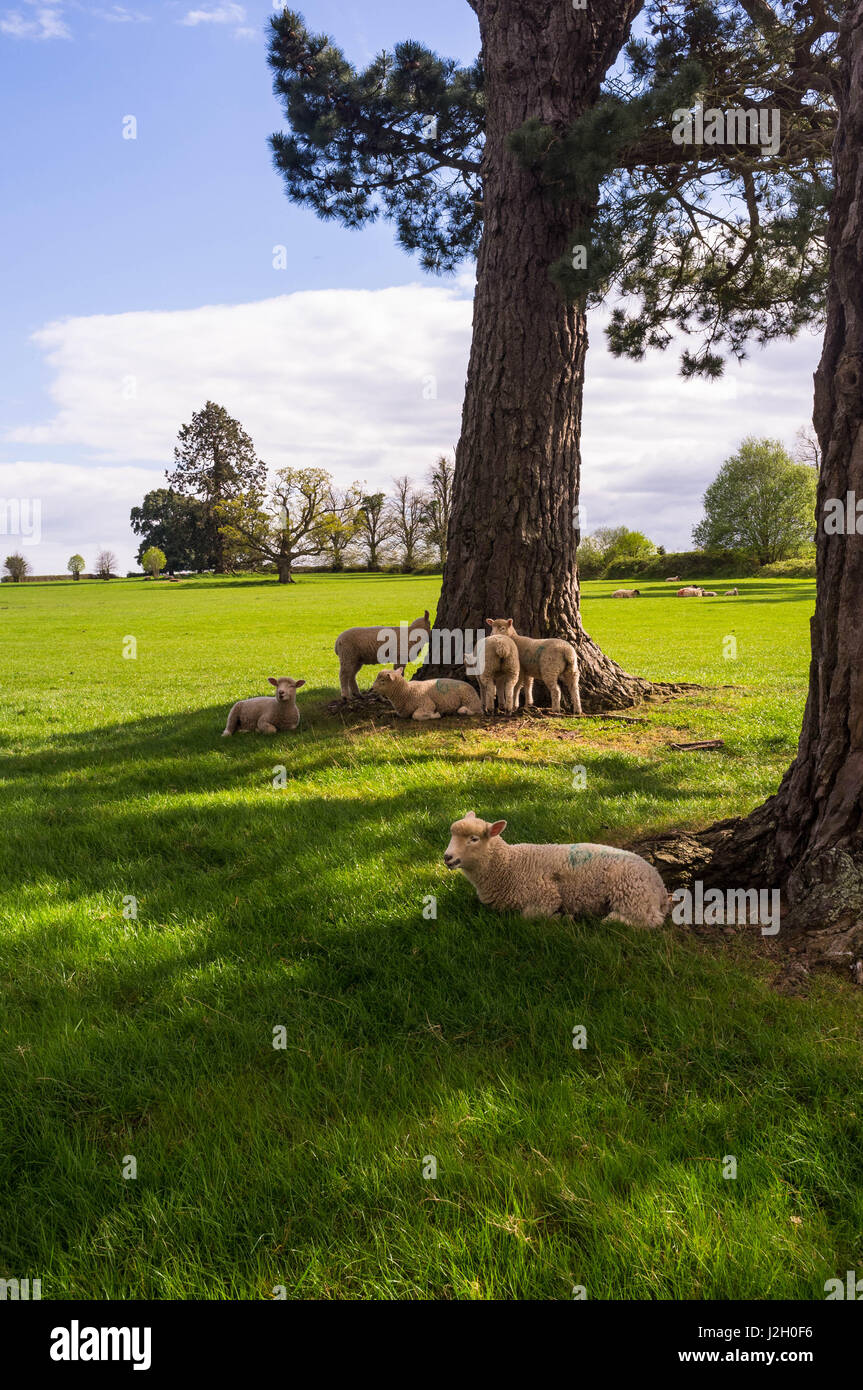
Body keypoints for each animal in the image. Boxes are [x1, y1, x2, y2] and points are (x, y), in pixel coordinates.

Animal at [441, 811, 669, 934]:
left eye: (474, 839)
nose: (447, 857)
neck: (509, 865)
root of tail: (659, 884)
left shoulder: (546, 895)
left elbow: (527, 916)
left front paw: (562, 918)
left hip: (632, 895)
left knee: (650, 921)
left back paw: (608, 919)